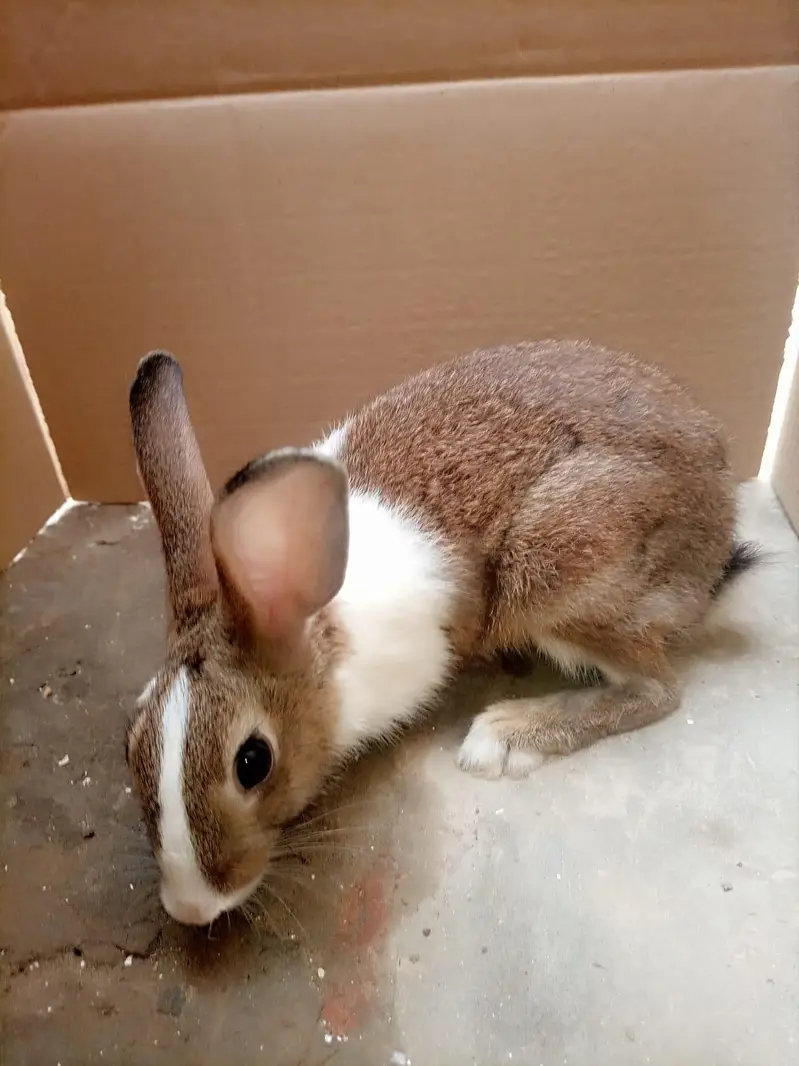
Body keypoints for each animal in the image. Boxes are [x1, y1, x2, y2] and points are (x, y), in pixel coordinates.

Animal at [126, 341, 759, 925]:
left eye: (252, 761)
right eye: (131, 742)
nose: (190, 909)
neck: (322, 640)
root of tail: (718, 528)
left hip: (558, 569)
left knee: (655, 690)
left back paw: (505, 734)